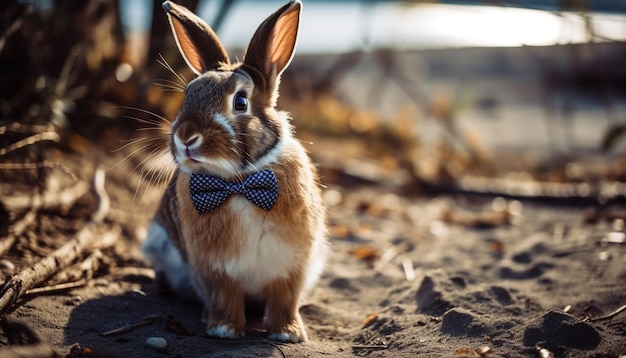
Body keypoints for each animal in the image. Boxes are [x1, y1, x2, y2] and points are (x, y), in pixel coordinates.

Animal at [141, 0, 326, 342]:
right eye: (188, 95)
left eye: (240, 102)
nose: (185, 137)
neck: (239, 181)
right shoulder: (214, 269)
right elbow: (223, 295)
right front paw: (223, 330)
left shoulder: (290, 266)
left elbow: (284, 299)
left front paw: (288, 334)